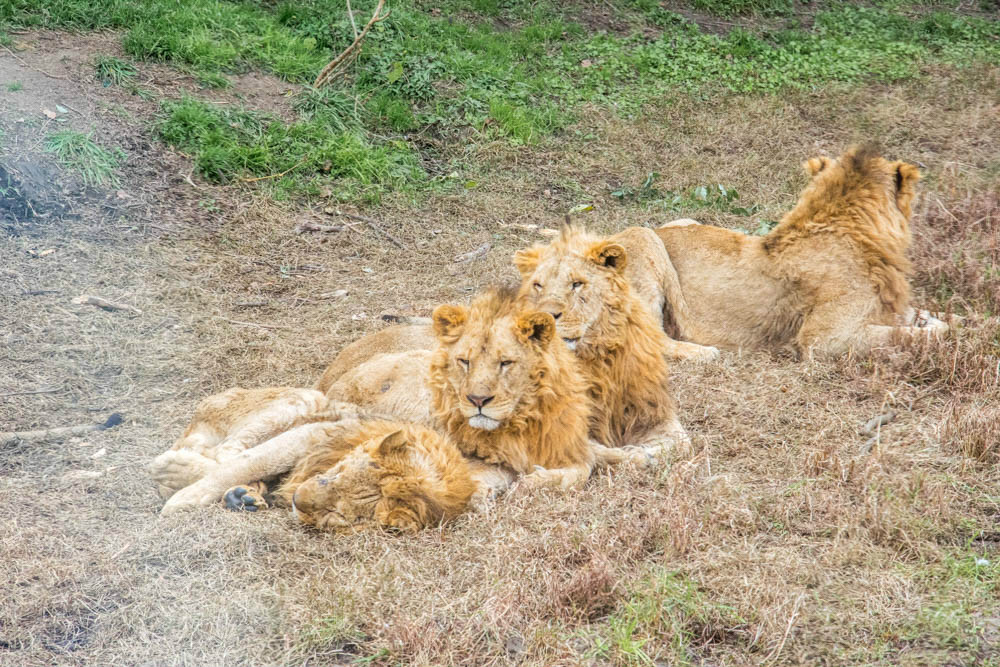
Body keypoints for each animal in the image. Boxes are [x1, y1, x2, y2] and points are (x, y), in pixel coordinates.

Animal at [516, 226, 688, 454]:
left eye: (577, 284)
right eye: (538, 285)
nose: (545, 315)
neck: (597, 359)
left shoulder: (652, 409)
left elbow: (679, 442)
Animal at [640, 147, 952, 360]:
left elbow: (923, 314)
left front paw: (953, 321)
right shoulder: (825, 338)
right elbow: (901, 335)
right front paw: (946, 333)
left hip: (684, 221)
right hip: (646, 238)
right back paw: (704, 353)